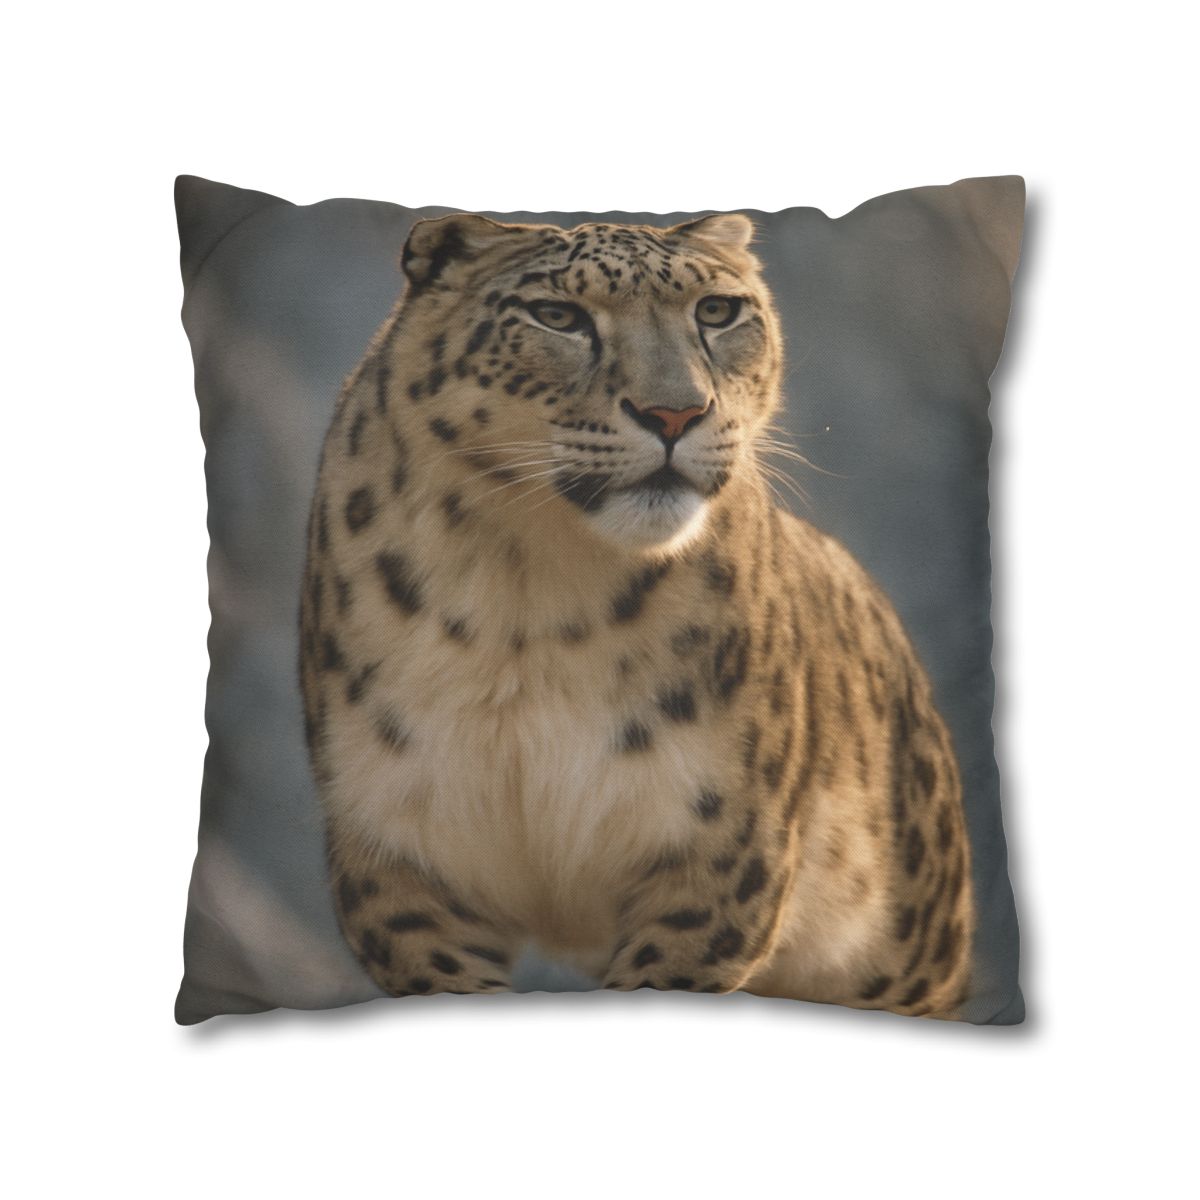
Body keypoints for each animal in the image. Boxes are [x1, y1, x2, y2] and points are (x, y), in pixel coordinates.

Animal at [299, 210, 974, 1017]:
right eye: (558, 316)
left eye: (716, 311)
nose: (675, 412)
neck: (527, 592)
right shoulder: (399, 854)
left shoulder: (718, 852)